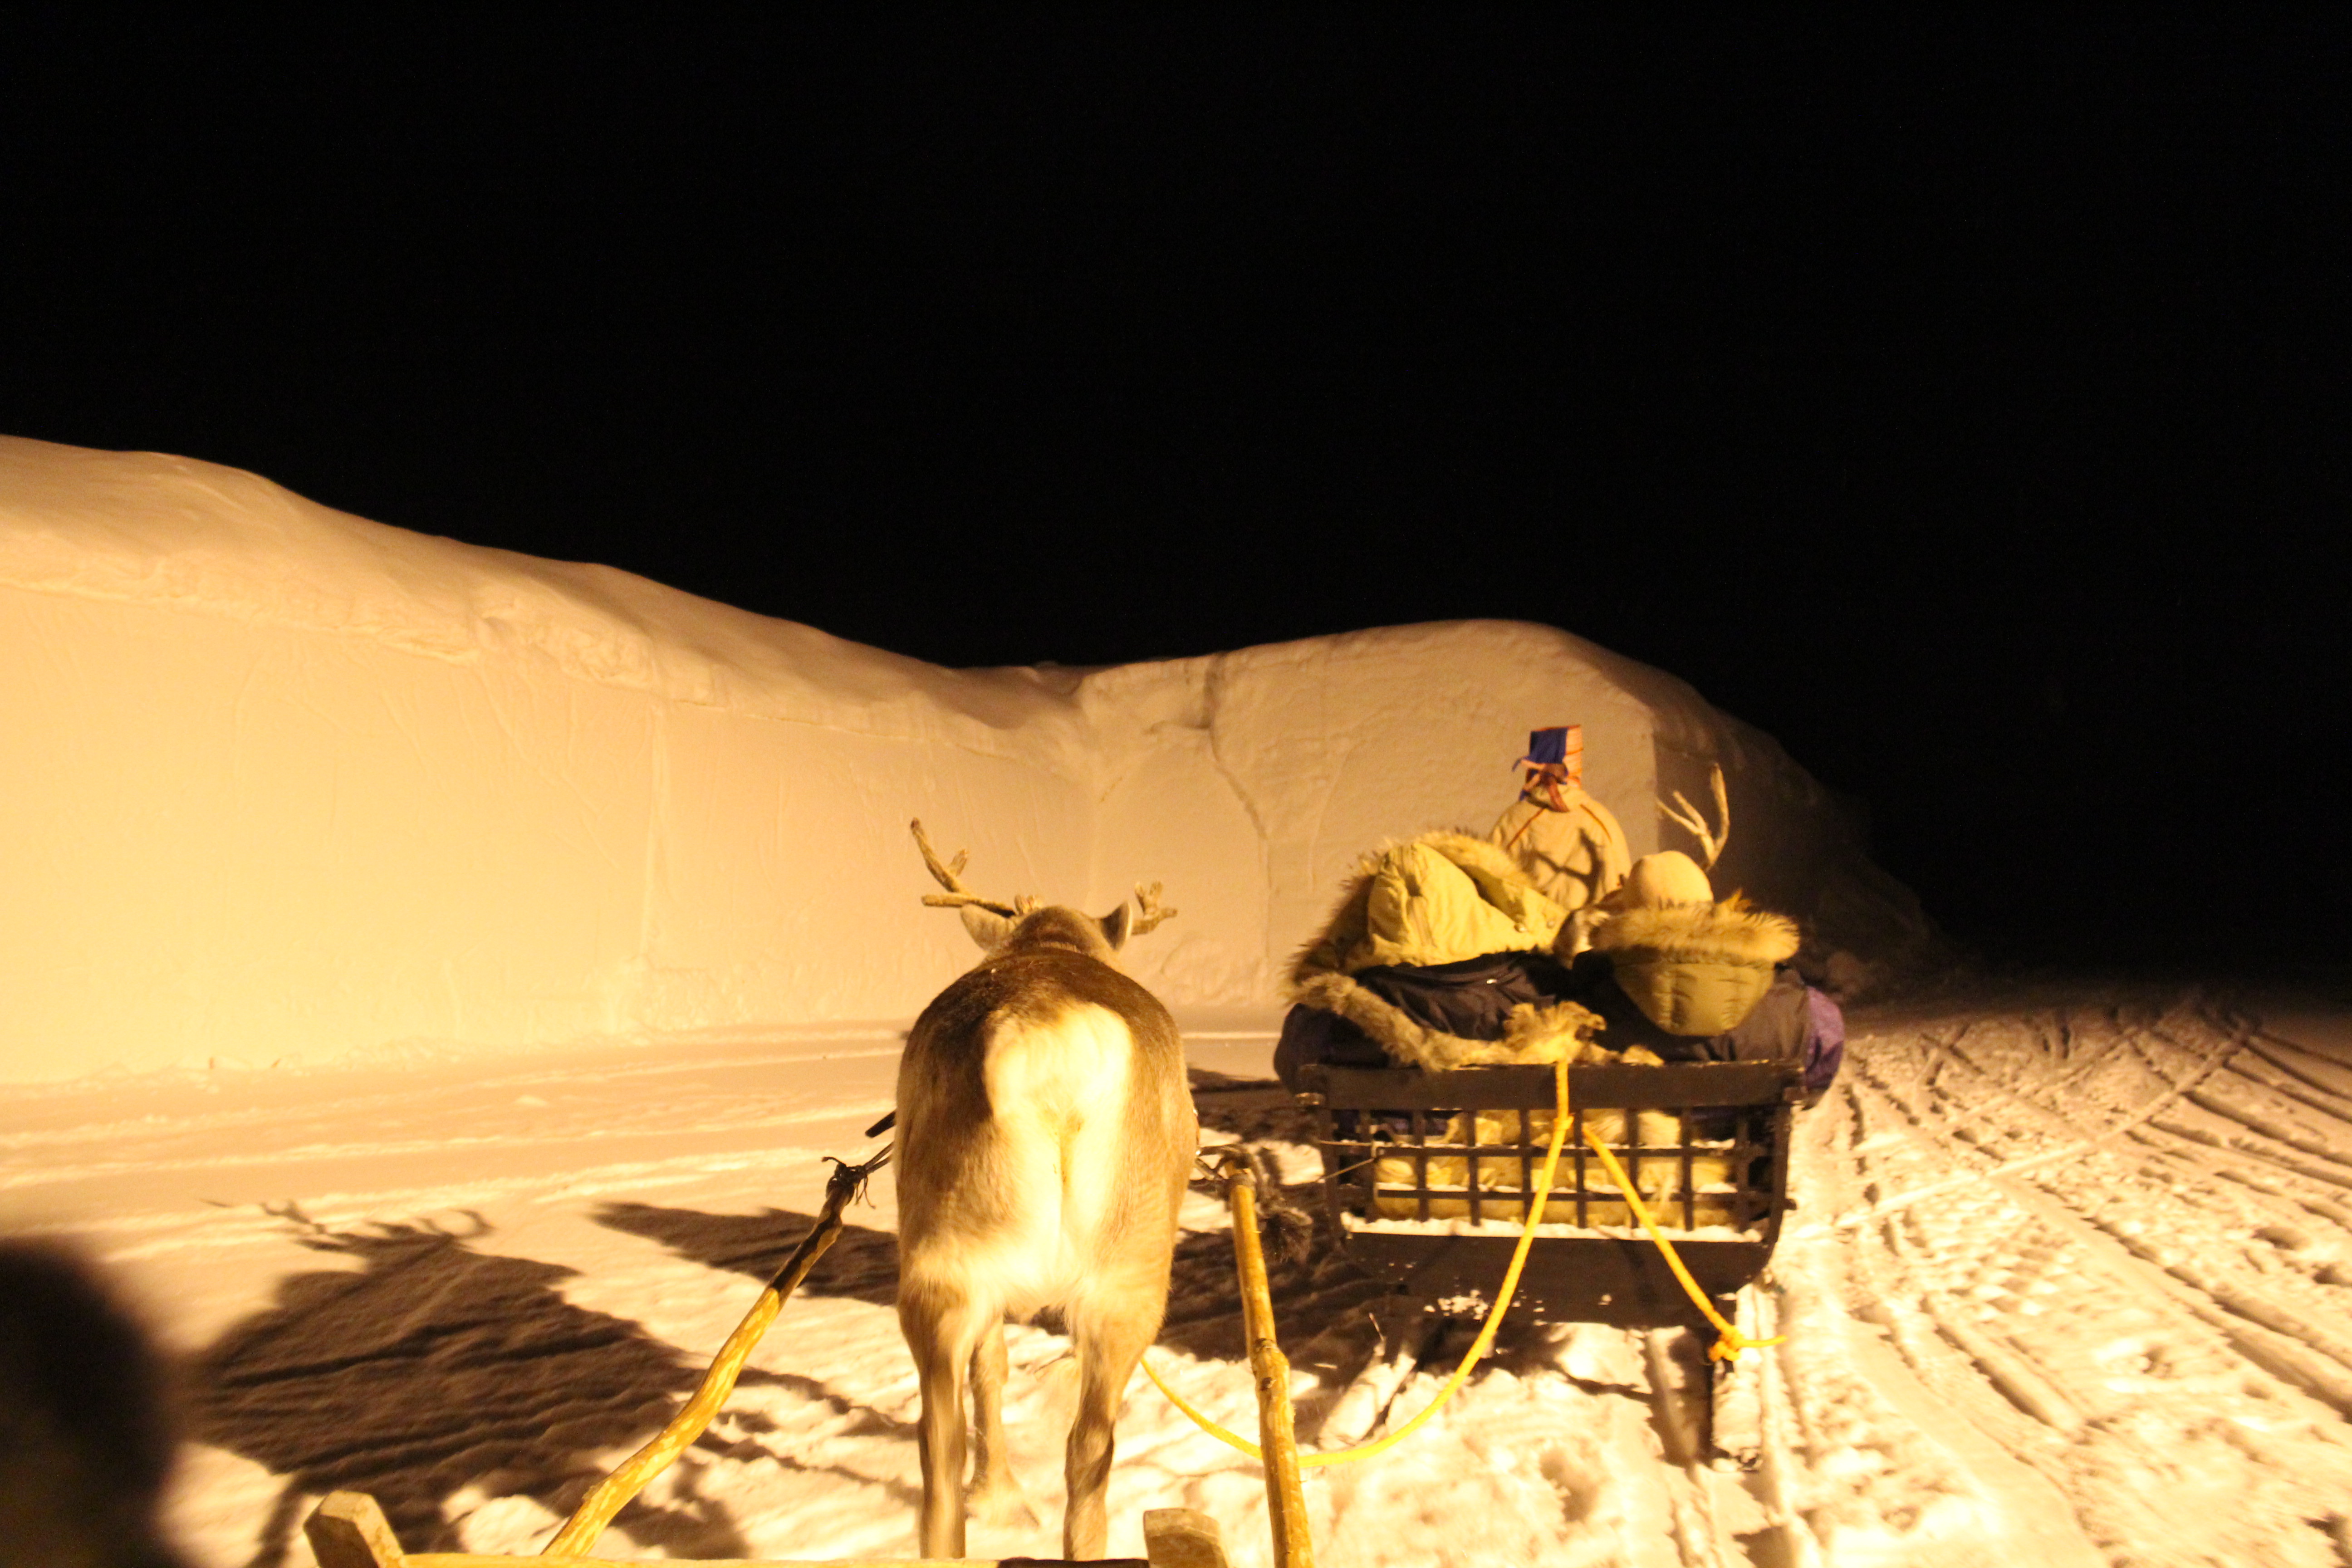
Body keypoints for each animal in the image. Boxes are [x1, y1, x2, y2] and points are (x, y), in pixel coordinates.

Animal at [892, 819, 1197, 1561]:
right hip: (1124, 1283)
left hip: (950, 1274)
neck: (1052, 942)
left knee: (946, 1449)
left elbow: (992, 1370)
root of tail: (1051, 1043)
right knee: (1086, 1452)